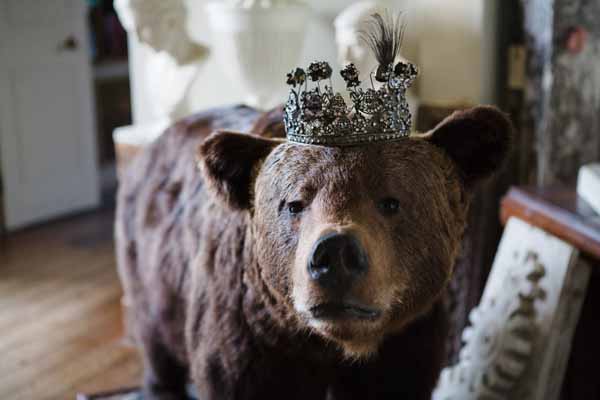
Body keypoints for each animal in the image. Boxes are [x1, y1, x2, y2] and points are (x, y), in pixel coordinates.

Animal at [116, 14, 510, 400]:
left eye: (391, 200)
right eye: (294, 204)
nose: (335, 253)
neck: (330, 346)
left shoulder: (405, 345)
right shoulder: (250, 343)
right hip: (152, 275)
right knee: (156, 346)